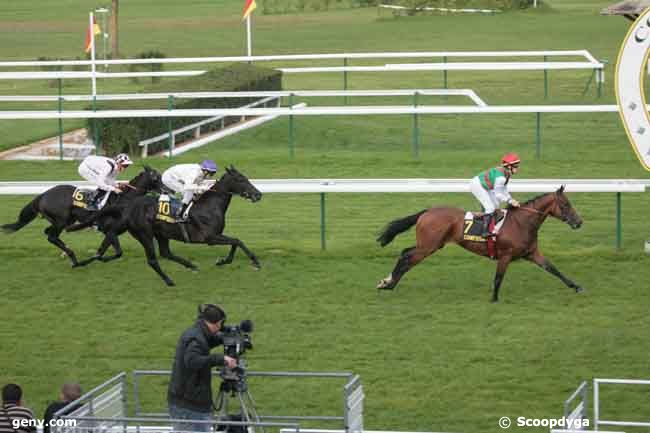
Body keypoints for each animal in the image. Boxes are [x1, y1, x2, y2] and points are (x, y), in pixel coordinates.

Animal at [1, 166, 162, 264]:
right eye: (156, 178)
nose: (166, 189)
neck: (125, 200)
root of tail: (43, 195)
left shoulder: (112, 232)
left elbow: (103, 250)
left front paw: (97, 258)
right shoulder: (110, 230)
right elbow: (117, 252)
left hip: (65, 220)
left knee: (49, 233)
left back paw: (67, 253)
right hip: (61, 220)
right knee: (51, 236)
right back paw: (71, 256)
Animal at [70, 164, 260, 286]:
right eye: (241, 179)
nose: (258, 195)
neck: (210, 206)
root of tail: (130, 206)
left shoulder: (214, 237)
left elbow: (236, 242)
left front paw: (224, 260)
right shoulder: (210, 238)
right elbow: (237, 241)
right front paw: (253, 261)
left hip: (161, 234)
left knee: (165, 253)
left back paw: (191, 266)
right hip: (145, 234)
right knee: (153, 260)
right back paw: (169, 280)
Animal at [374, 185, 584, 300]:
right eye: (565, 205)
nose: (579, 222)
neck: (522, 222)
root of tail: (426, 212)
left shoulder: (532, 253)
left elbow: (553, 269)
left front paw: (576, 286)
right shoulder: (505, 255)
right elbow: (498, 278)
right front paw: (494, 299)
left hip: (429, 245)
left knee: (405, 253)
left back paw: (388, 282)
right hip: (428, 246)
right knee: (407, 257)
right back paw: (388, 284)